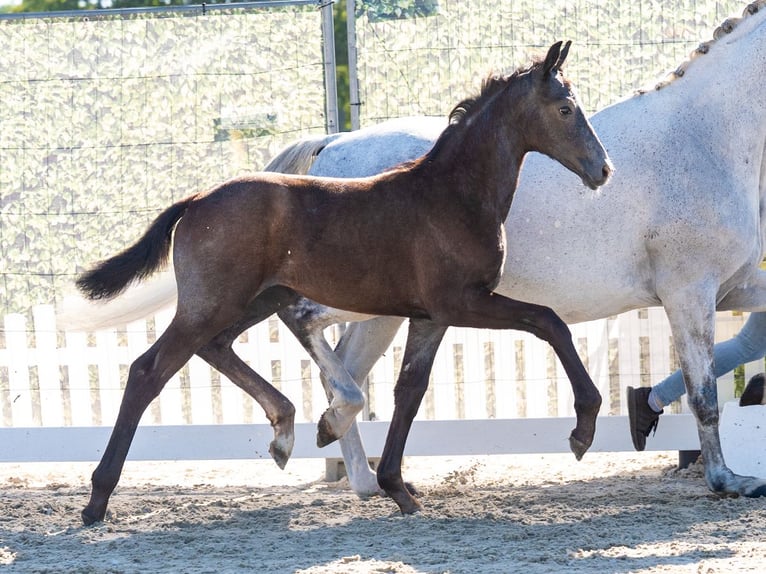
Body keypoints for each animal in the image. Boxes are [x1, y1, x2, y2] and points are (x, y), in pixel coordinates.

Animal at [73, 41, 611, 523]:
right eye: (566, 108)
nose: (602, 169)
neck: (452, 195)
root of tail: (197, 199)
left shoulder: (430, 316)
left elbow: (409, 390)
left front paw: (397, 487)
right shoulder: (464, 302)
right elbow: (550, 322)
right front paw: (583, 430)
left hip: (255, 300)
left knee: (216, 347)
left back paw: (288, 430)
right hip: (212, 303)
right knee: (148, 371)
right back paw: (97, 500)